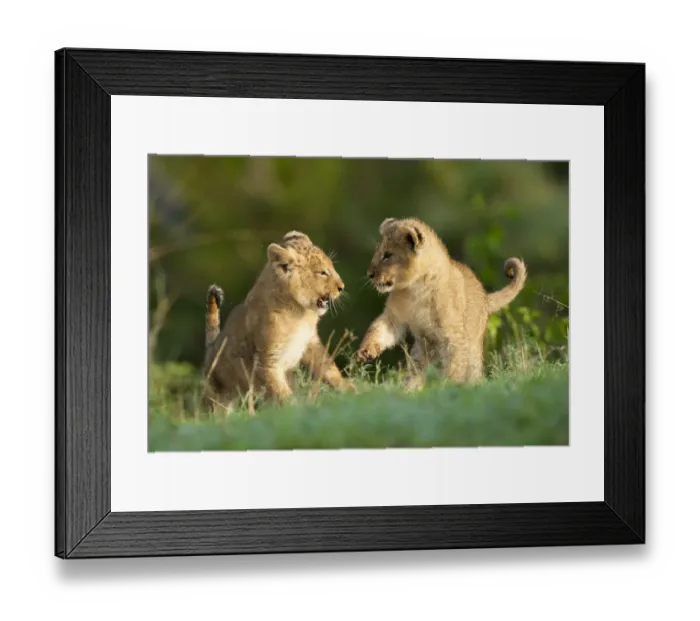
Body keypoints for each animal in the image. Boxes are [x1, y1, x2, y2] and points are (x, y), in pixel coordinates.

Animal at [202, 231, 348, 408]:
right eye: (322, 272)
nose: (342, 287)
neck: (300, 313)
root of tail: (211, 346)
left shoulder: (310, 343)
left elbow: (328, 368)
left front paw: (352, 390)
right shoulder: (267, 361)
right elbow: (282, 394)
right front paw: (296, 410)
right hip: (217, 397)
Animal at [356, 217, 527, 390]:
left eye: (388, 255)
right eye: (378, 253)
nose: (369, 274)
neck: (416, 288)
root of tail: (485, 298)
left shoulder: (455, 337)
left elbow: (454, 367)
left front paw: (448, 388)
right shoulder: (394, 317)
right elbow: (379, 330)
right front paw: (365, 351)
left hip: (472, 350)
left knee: (472, 371)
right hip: (423, 350)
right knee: (415, 372)